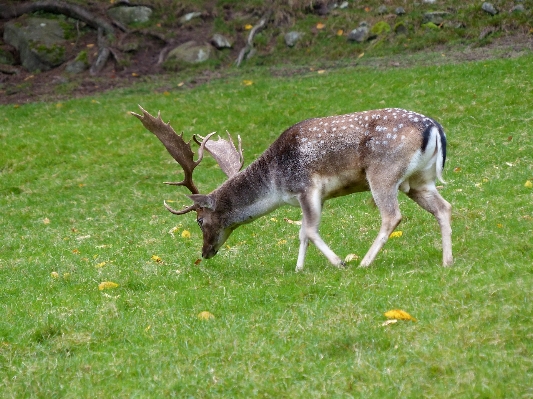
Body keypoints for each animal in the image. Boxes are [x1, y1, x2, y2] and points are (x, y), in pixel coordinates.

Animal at [131, 105, 450, 272]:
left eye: (199, 220)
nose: (205, 252)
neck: (276, 185)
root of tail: (434, 128)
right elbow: (302, 232)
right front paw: (299, 268)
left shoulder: (307, 187)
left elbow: (308, 230)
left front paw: (338, 262)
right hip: (419, 180)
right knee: (444, 207)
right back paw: (447, 260)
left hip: (383, 173)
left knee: (392, 216)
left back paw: (364, 262)